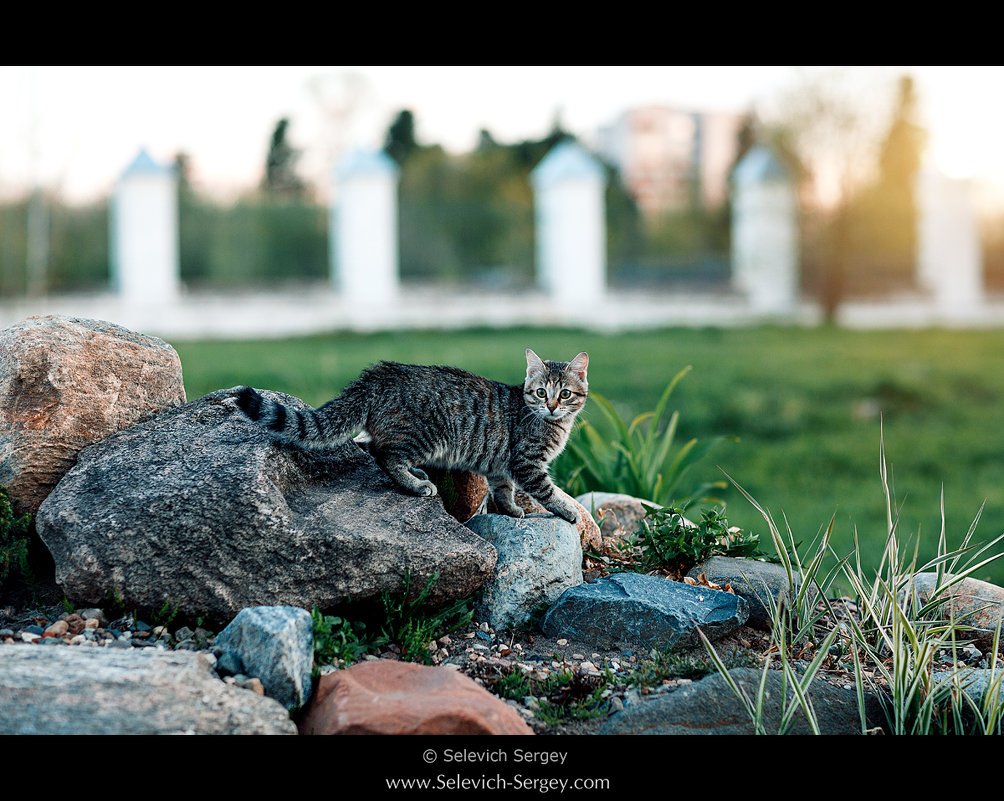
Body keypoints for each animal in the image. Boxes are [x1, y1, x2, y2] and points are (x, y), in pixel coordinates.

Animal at [233, 351, 586, 525]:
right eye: (541, 392)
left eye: (565, 393)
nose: (552, 406)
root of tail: (379, 375)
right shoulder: (527, 463)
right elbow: (546, 491)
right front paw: (565, 510)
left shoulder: (501, 466)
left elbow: (503, 490)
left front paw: (511, 510)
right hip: (426, 435)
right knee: (383, 454)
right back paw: (416, 484)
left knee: (372, 446)